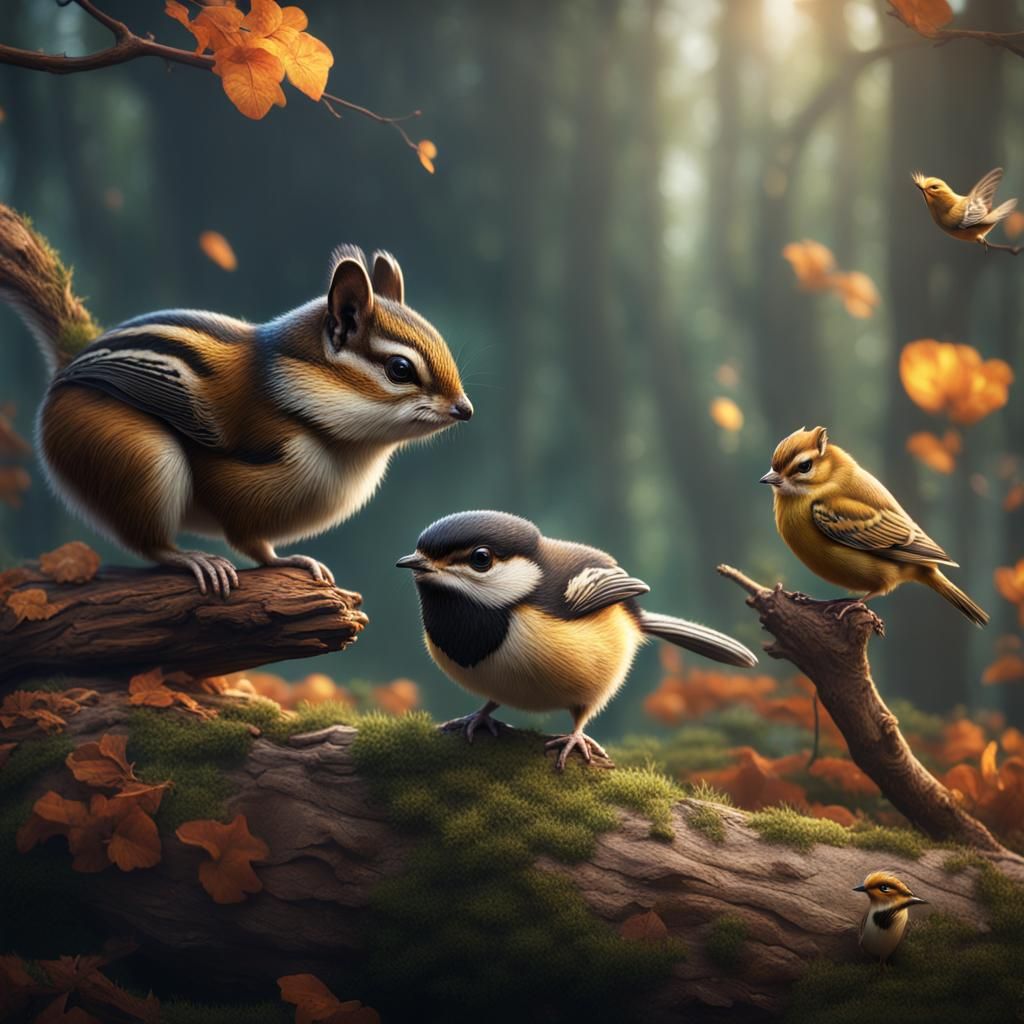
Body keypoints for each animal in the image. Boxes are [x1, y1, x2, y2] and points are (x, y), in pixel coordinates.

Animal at [0, 204, 472, 595]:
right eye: (400, 369)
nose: (465, 409)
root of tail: (70, 362)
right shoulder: (241, 500)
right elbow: (252, 543)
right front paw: (289, 559)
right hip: (137, 457)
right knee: (149, 543)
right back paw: (192, 559)